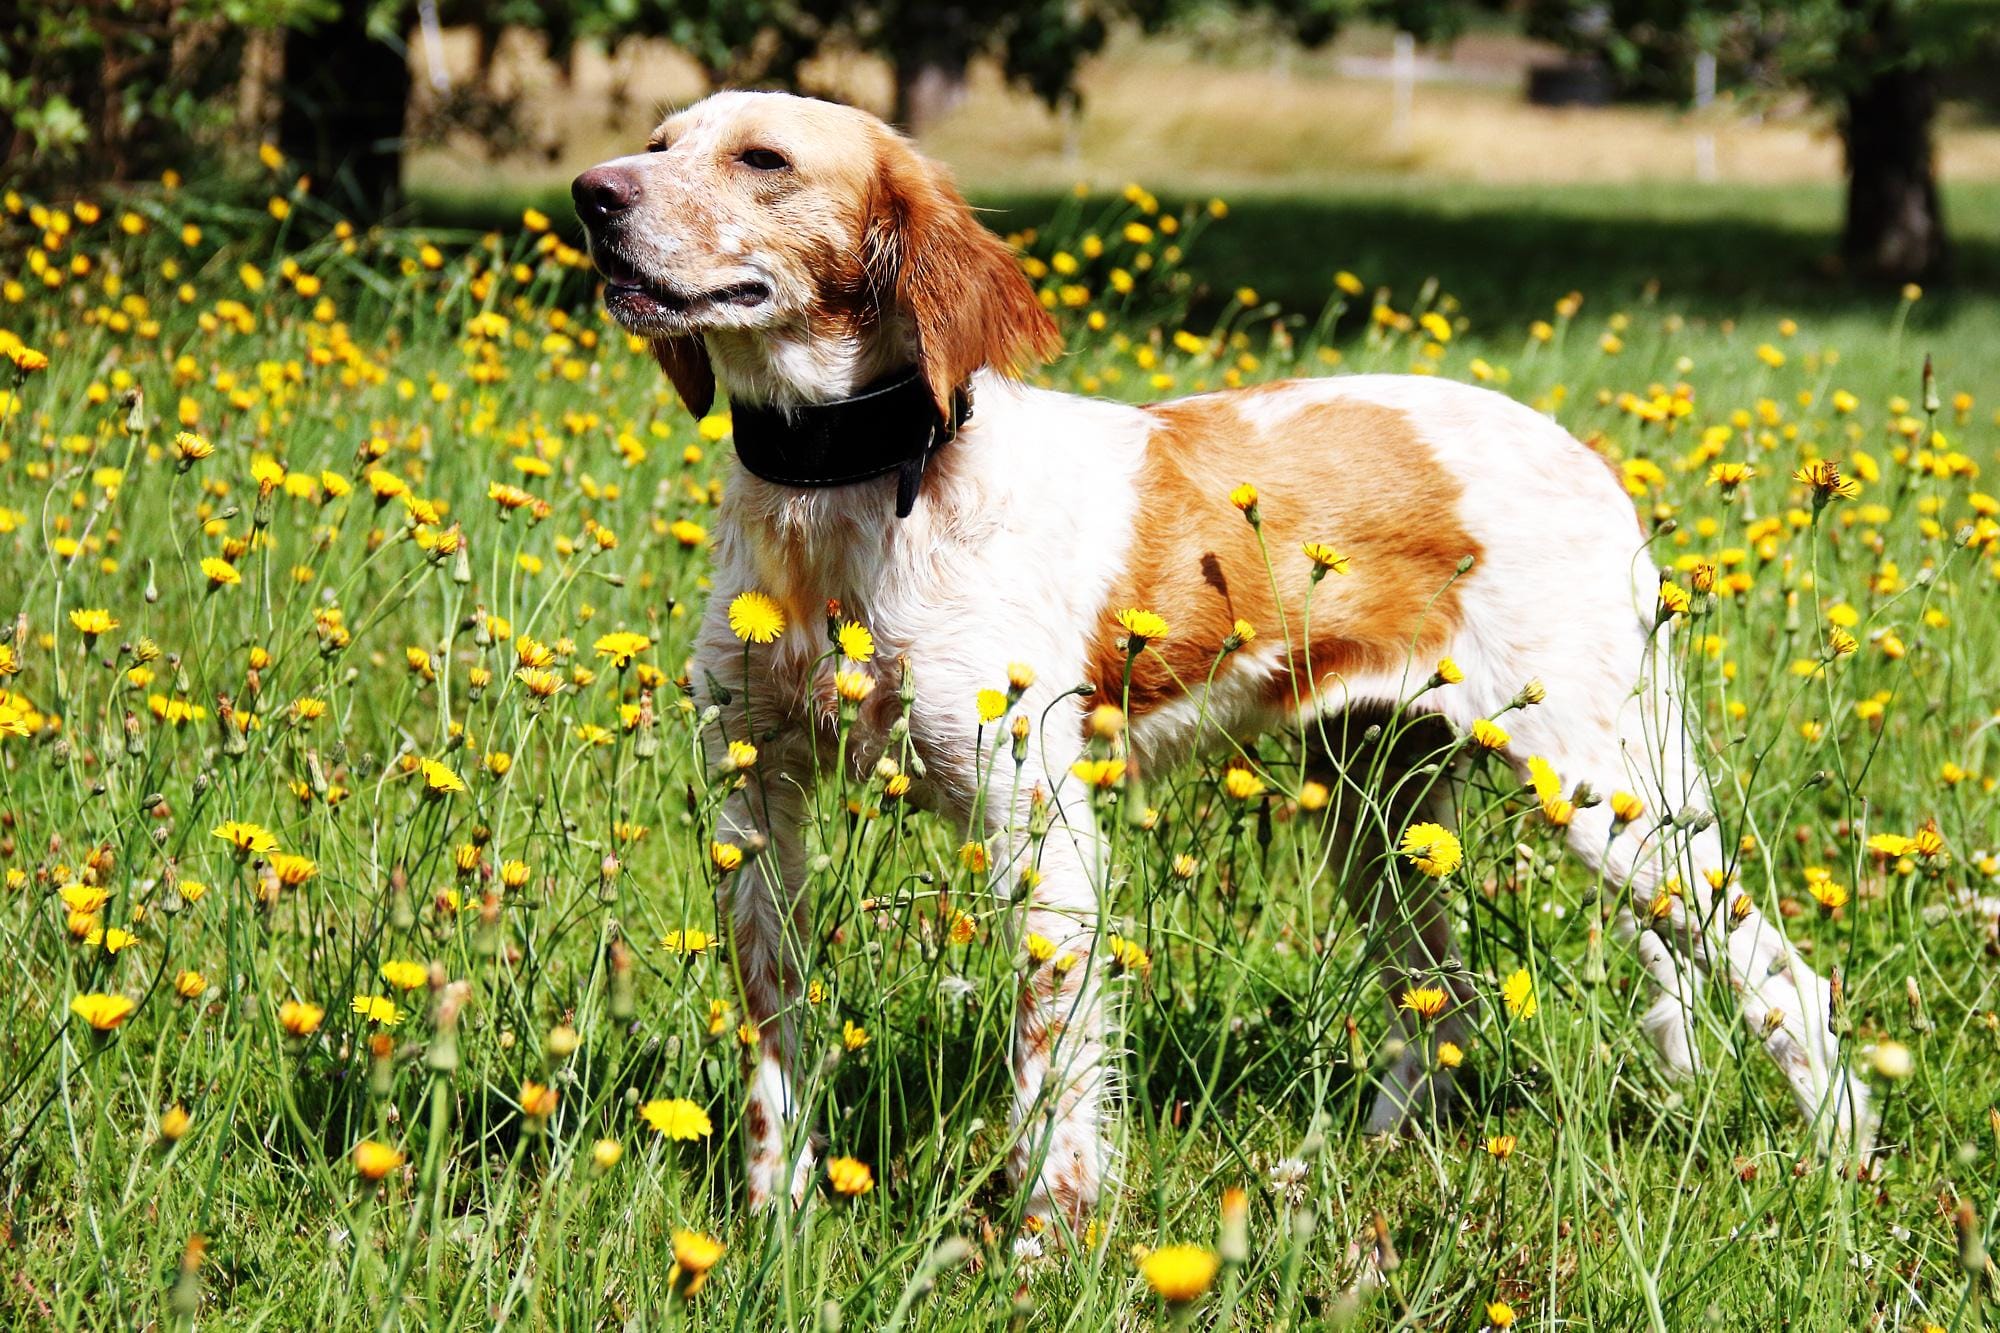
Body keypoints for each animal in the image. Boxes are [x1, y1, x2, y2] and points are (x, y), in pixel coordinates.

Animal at [572, 90, 1870, 1231]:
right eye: (657, 142)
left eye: (763, 160)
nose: (592, 193)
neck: (849, 480)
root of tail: (1586, 453)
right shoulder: (753, 804)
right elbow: (774, 1050)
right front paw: (769, 1228)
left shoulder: (1040, 830)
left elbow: (1051, 1086)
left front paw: (1043, 1252)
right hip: (1376, 815)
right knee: (1442, 1004)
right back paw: (1356, 1164)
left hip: (1609, 796)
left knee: (1783, 980)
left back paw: (1842, 1165)